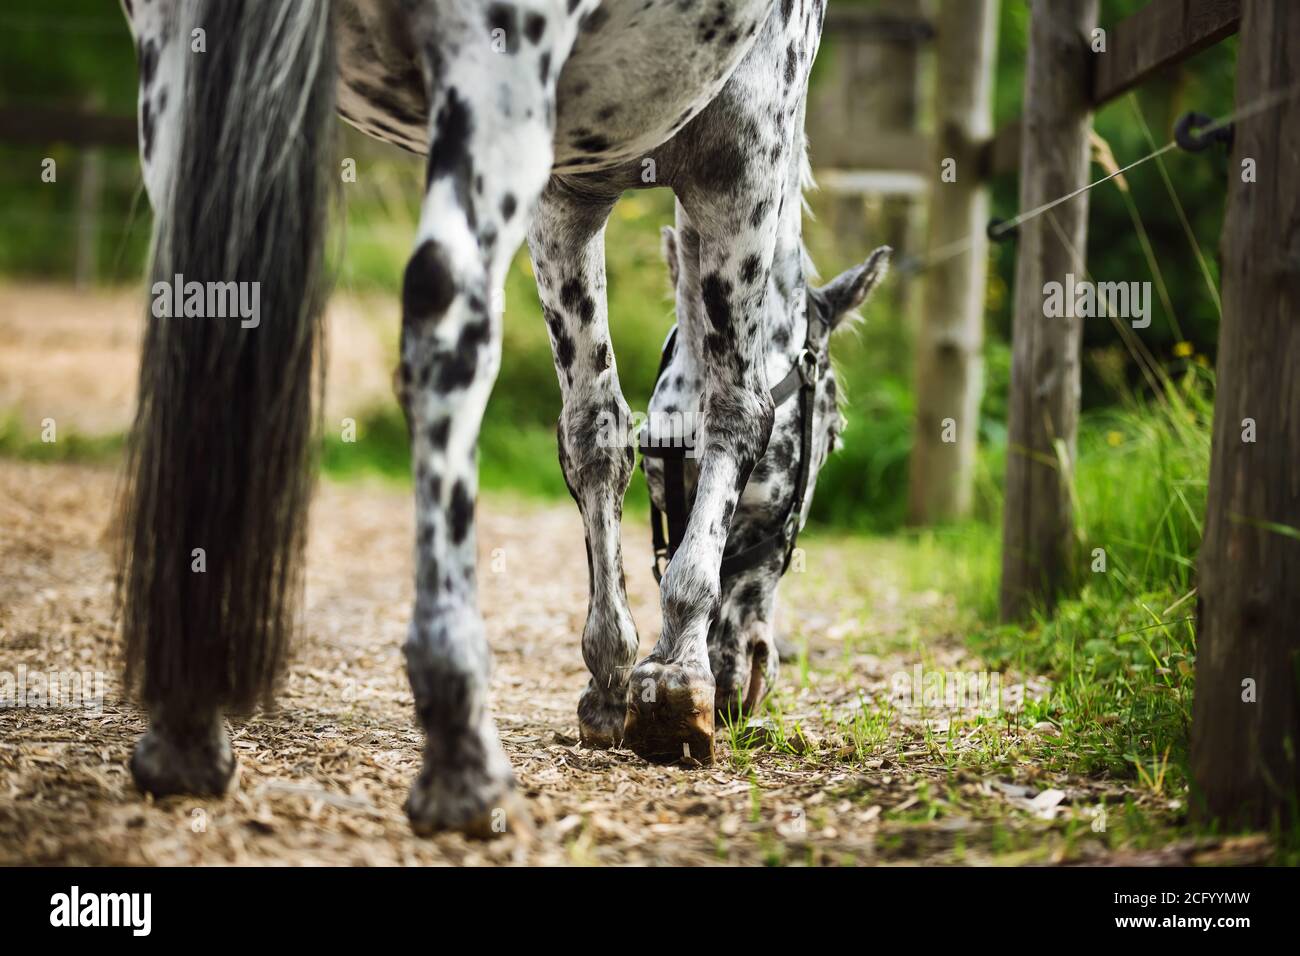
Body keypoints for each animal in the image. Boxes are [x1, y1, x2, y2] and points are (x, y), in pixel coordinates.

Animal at [116, 0, 889, 837]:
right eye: (830, 438)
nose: (744, 673)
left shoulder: (564, 198)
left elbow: (594, 430)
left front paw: (613, 679)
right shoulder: (747, 143)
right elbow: (736, 408)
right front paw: (678, 674)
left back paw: (187, 730)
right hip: (495, 69)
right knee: (444, 317)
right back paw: (463, 758)